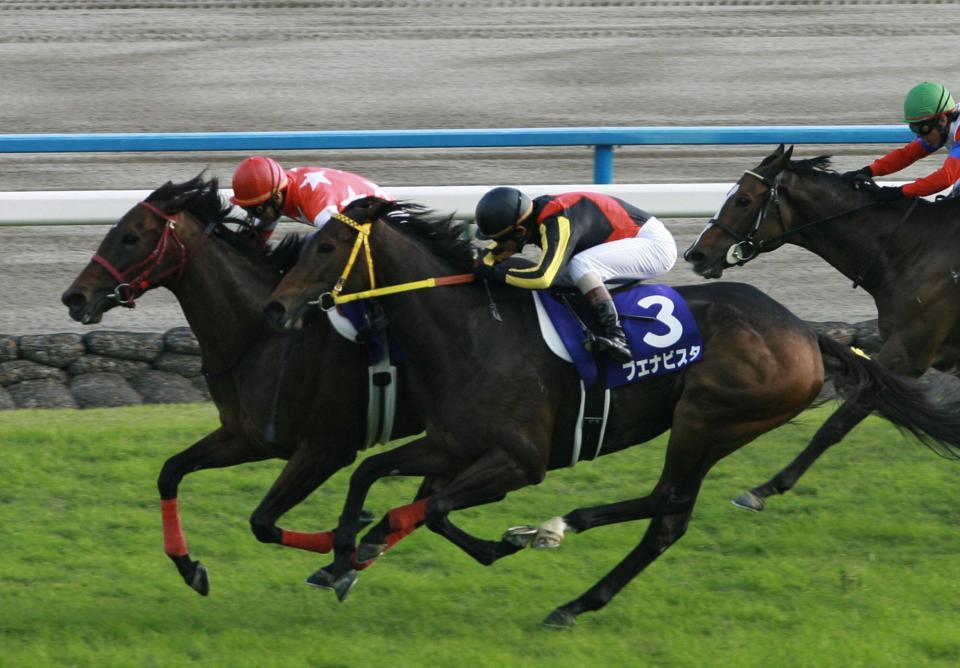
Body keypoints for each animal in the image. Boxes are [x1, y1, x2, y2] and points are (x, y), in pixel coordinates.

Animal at [60, 176, 420, 596]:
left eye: (131, 237)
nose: (74, 297)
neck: (264, 337)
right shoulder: (247, 438)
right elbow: (170, 472)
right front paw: (189, 566)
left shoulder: (326, 450)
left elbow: (262, 521)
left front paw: (347, 549)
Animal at [258, 197, 960, 628]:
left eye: (325, 248)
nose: (276, 306)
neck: (471, 331)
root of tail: (804, 331)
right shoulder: (453, 444)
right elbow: (371, 477)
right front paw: (343, 552)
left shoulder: (520, 462)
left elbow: (429, 507)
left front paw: (467, 545)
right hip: (720, 425)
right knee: (668, 517)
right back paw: (572, 587)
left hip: (709, 415)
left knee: (667, 504)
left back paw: (559, 533)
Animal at [684, 145, 960, 512]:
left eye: (743, 199)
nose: (695, 254)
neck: (910, 249)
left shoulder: (905, 355)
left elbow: (837, 423)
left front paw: (763, 490)